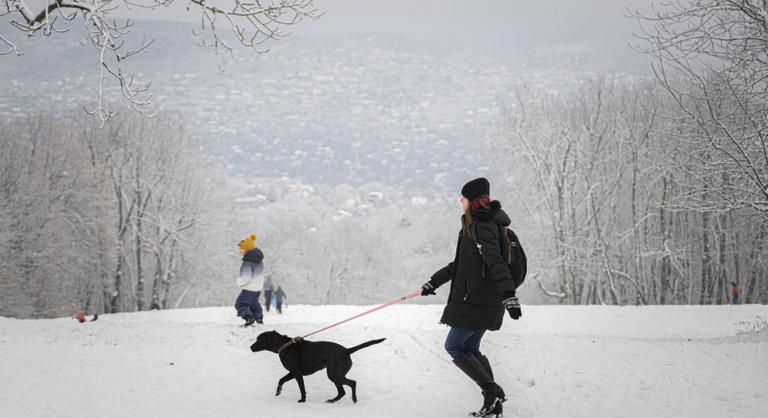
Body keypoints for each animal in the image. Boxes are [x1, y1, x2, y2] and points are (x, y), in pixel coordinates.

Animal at [250, 332, 384, 404]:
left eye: (259, 339)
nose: (251, 347)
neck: (284, 346)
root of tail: (346, 350)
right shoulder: (292, 372)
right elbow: (281, 380)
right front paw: (278, 392)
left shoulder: (297, 373)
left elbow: (302, 389)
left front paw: (302, 400)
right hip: (337, 375)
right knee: (349, 386)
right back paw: (348, 399)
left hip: (334, 375)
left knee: (348, 387)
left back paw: (335, 400)